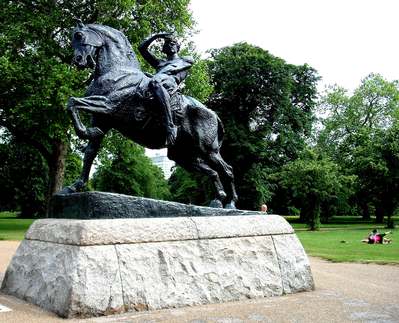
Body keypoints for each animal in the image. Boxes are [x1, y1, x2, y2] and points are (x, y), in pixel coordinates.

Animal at [62, 23, 238, 210]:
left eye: (79, 35)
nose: (78, 60)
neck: (117, 70)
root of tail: (213, 115)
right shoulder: (102, 119)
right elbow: (90, 152)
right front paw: (74, 186)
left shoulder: (107, 105)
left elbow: (72, 102)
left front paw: (85, 132)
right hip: (182, 155)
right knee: (213, 172)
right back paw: (218, 200)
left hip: (208, 150)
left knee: (227, 170)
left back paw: (231, 203)